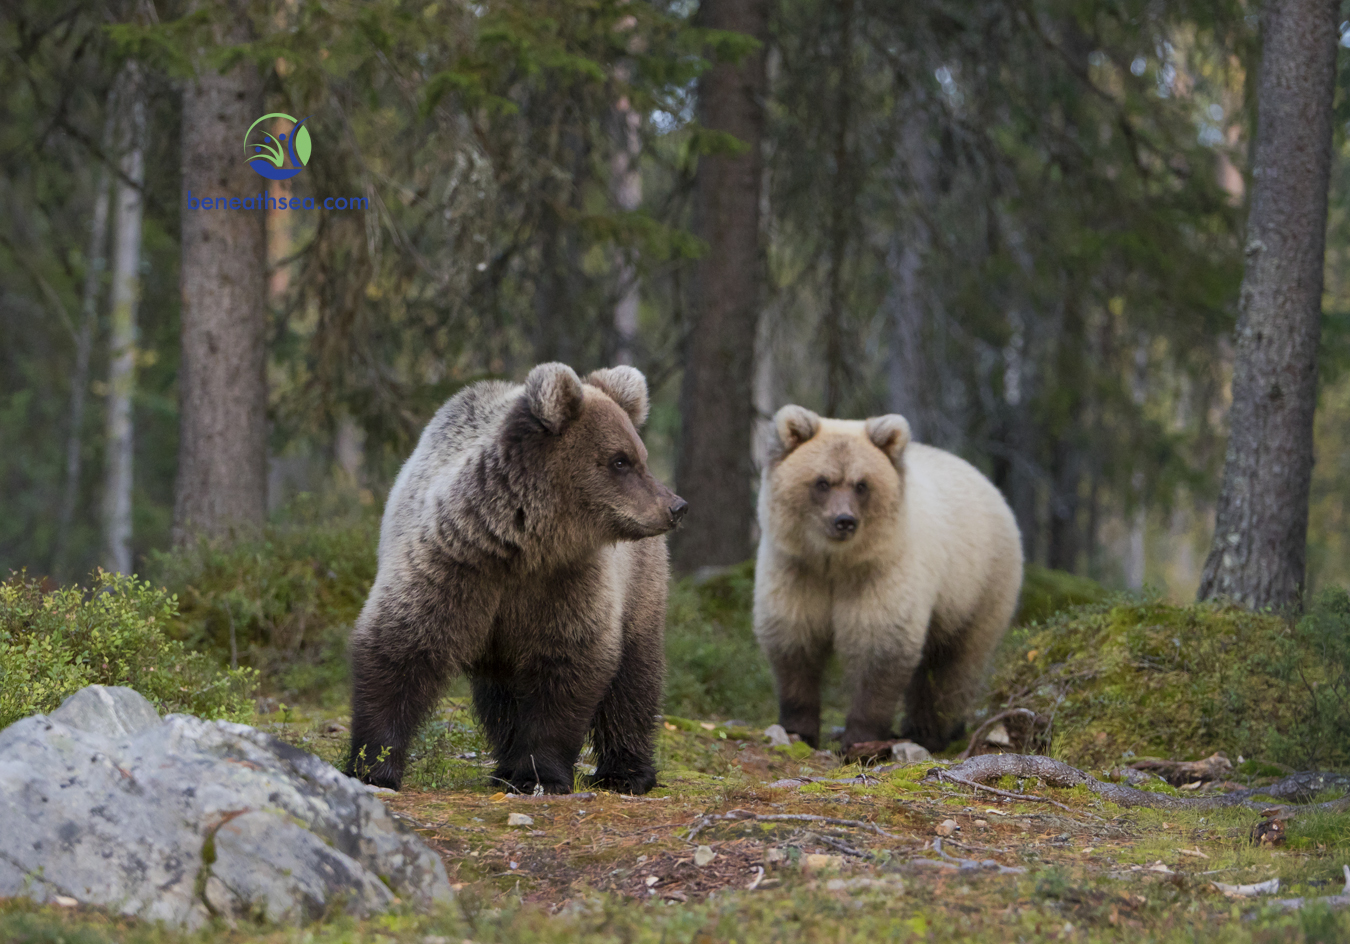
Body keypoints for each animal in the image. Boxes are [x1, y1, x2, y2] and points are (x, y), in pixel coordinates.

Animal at [348, 364, 685, 794]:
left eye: (639, 457)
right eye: (620, 461)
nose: (676, 506)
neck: (518, 546)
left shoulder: (568, 582)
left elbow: (568, 662)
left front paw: (541, 775)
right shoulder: (452, 568)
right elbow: (400, 651)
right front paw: (372, 765)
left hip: (639, 585)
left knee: (634, 675)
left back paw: (627, 773)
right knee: (502, 695)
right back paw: (505, 766)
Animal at [750, 405, 1020, 750]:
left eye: (861, 484)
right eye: (822, 482)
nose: (844, 521)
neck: (834, 563)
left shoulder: (881, 574)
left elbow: (879, 646)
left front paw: (861, 738)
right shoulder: (797, 572)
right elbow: (794, 640)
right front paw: (799, 729)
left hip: (979, 585)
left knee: (955, 663)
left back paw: (933, 731)